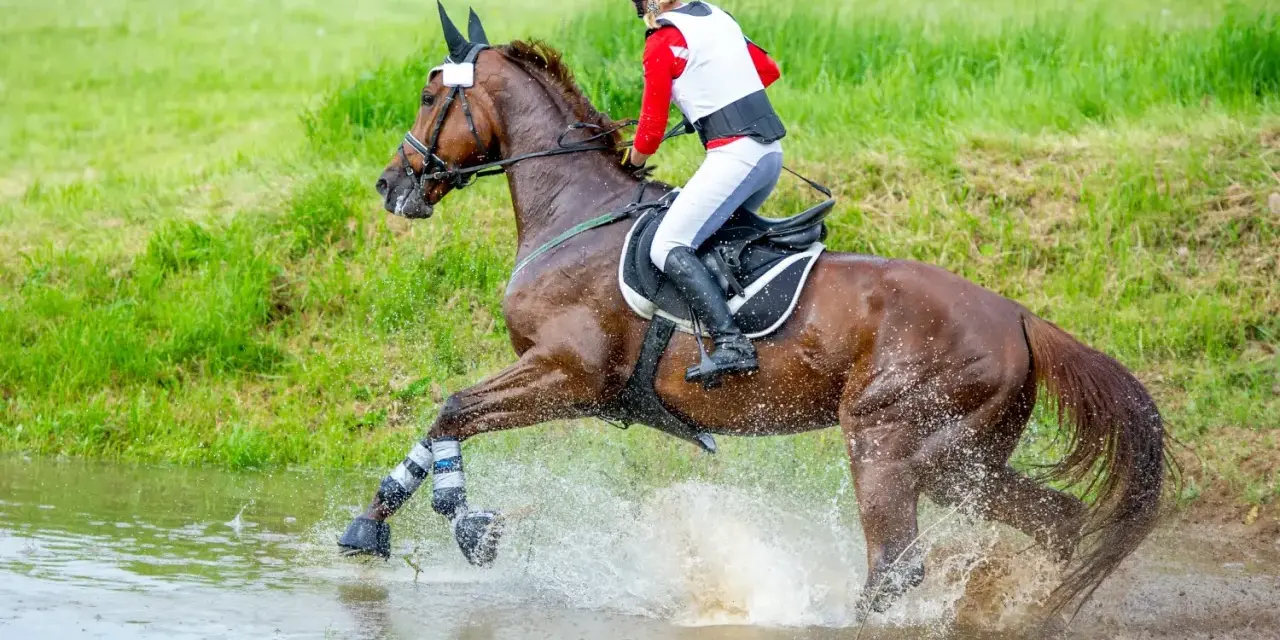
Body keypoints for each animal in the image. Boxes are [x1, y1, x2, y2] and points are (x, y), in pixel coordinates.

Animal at [339, 4, 1170, 623]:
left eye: (428, 95)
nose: (389, 184)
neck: (576, 212)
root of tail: (1020, 317)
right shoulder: (567, 384)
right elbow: (441, 421)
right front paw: (370, 524)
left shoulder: (568, 376)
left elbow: (453, 408)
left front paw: (468, 524)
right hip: (963, 458)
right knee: (1054, 521)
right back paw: (1036, 610)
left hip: (890, 440)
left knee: (896, 568)